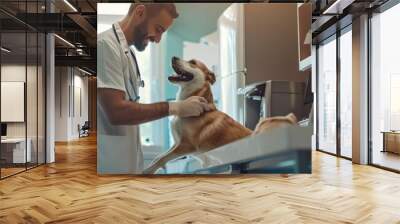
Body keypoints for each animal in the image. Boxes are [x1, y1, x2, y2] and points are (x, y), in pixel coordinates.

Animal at [144, 57, 296, 174]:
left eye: (192, 62)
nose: (173, 57)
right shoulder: (177, 144)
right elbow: (158, 157)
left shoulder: (186, 145)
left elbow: (162, 158)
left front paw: (147, 171)